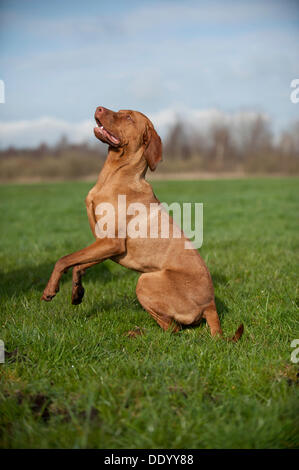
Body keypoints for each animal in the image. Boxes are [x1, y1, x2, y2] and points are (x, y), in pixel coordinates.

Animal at [41, 107, 244, 342]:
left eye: (128, 117)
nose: (99, 108)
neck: (113, 176)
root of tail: (211, 306)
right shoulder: (104, 245)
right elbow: (78, 265)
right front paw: (76, 292)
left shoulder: (111, 243)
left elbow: (63, 260)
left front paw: (50, 289)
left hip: (145, 281)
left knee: (172, 330)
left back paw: (138, 333)